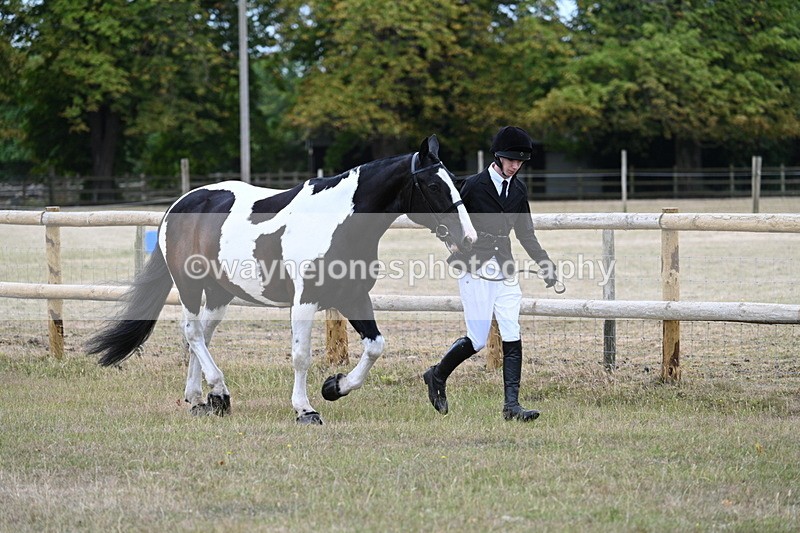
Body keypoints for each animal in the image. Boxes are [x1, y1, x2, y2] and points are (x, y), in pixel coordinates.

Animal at [86, 135, 477, 424]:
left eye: (456, 183)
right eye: (431, 184)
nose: (469, 238)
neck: (337, 222)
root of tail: (180, 204)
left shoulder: (354, 297)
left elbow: (376, 346)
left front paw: (334, 387)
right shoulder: (304, 302)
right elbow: (301, 356)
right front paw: (305, 410)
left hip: (219, 293)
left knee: (201, 337)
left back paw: (200, 399)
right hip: (189, 286)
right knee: (192, 332)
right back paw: (220, 393)